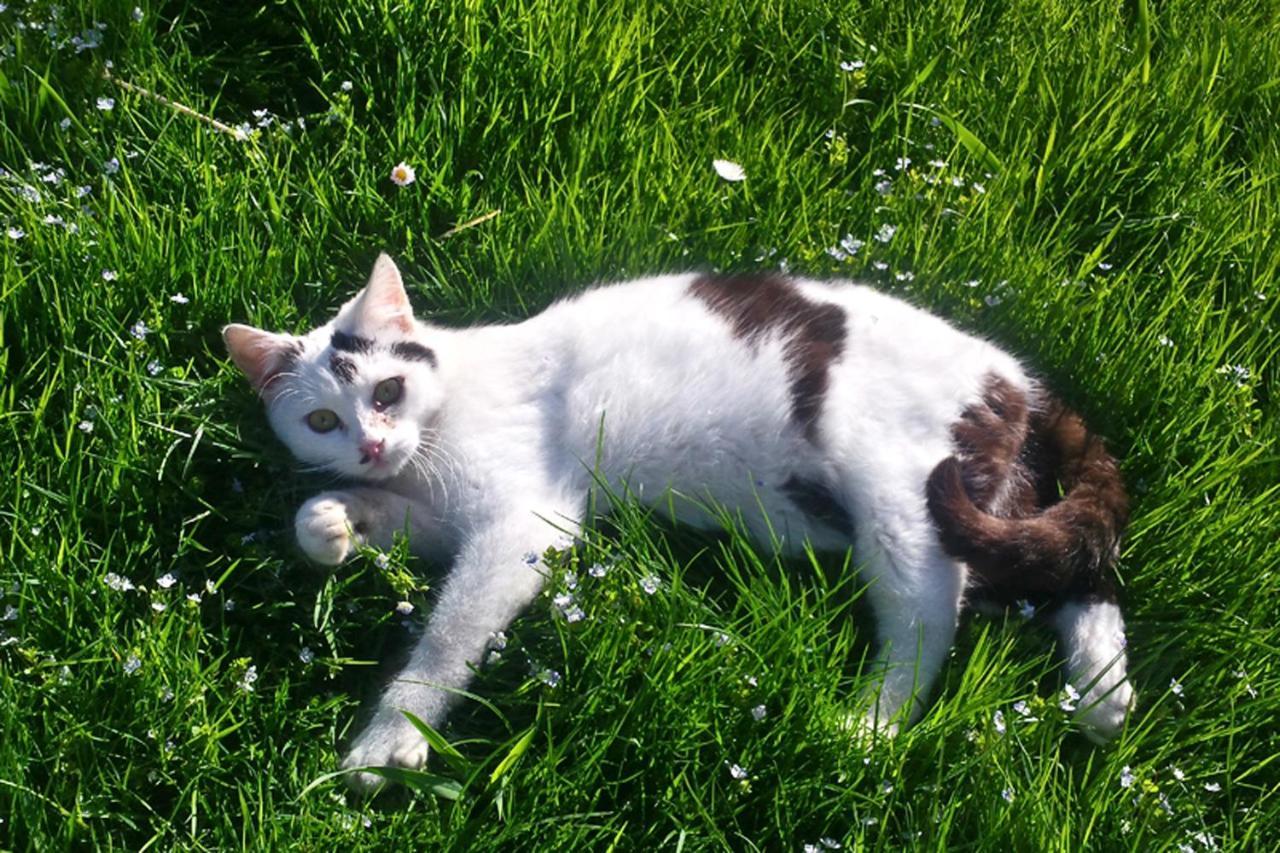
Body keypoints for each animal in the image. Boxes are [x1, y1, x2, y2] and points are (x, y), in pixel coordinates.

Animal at [225, 253, 1136, 788]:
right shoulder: (448, 515)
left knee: (931, 615)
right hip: (981, 502)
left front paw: (392, 739)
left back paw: (868, 727)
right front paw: (333, 524)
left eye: (387, 390)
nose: (372, 443)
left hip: (903, 495)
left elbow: (449, 635)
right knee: (1075, 574)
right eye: (321, 421)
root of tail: (1016, 375)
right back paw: (1102, 699)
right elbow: (345, 515)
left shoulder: (528, 522)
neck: (435, 429)